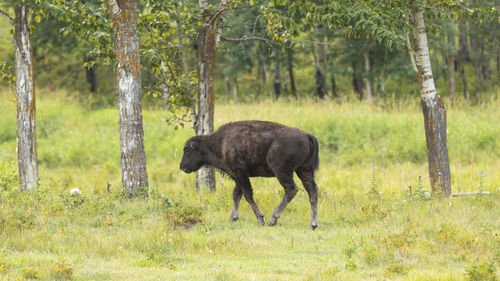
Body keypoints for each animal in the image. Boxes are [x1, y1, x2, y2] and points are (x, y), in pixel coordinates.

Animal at [181, 119, 320, 229]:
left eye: (186, 150)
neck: (220, 142)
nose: (181, 167)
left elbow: (247, 194)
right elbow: (237, 195)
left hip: (282, 172)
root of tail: (307, 135)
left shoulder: (241, 172)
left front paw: (260, 219)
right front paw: (233, 217)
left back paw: (273, 219)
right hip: (304, 169)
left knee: (292, 189)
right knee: (312, 190)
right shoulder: (237, 176)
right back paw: (312, 225)